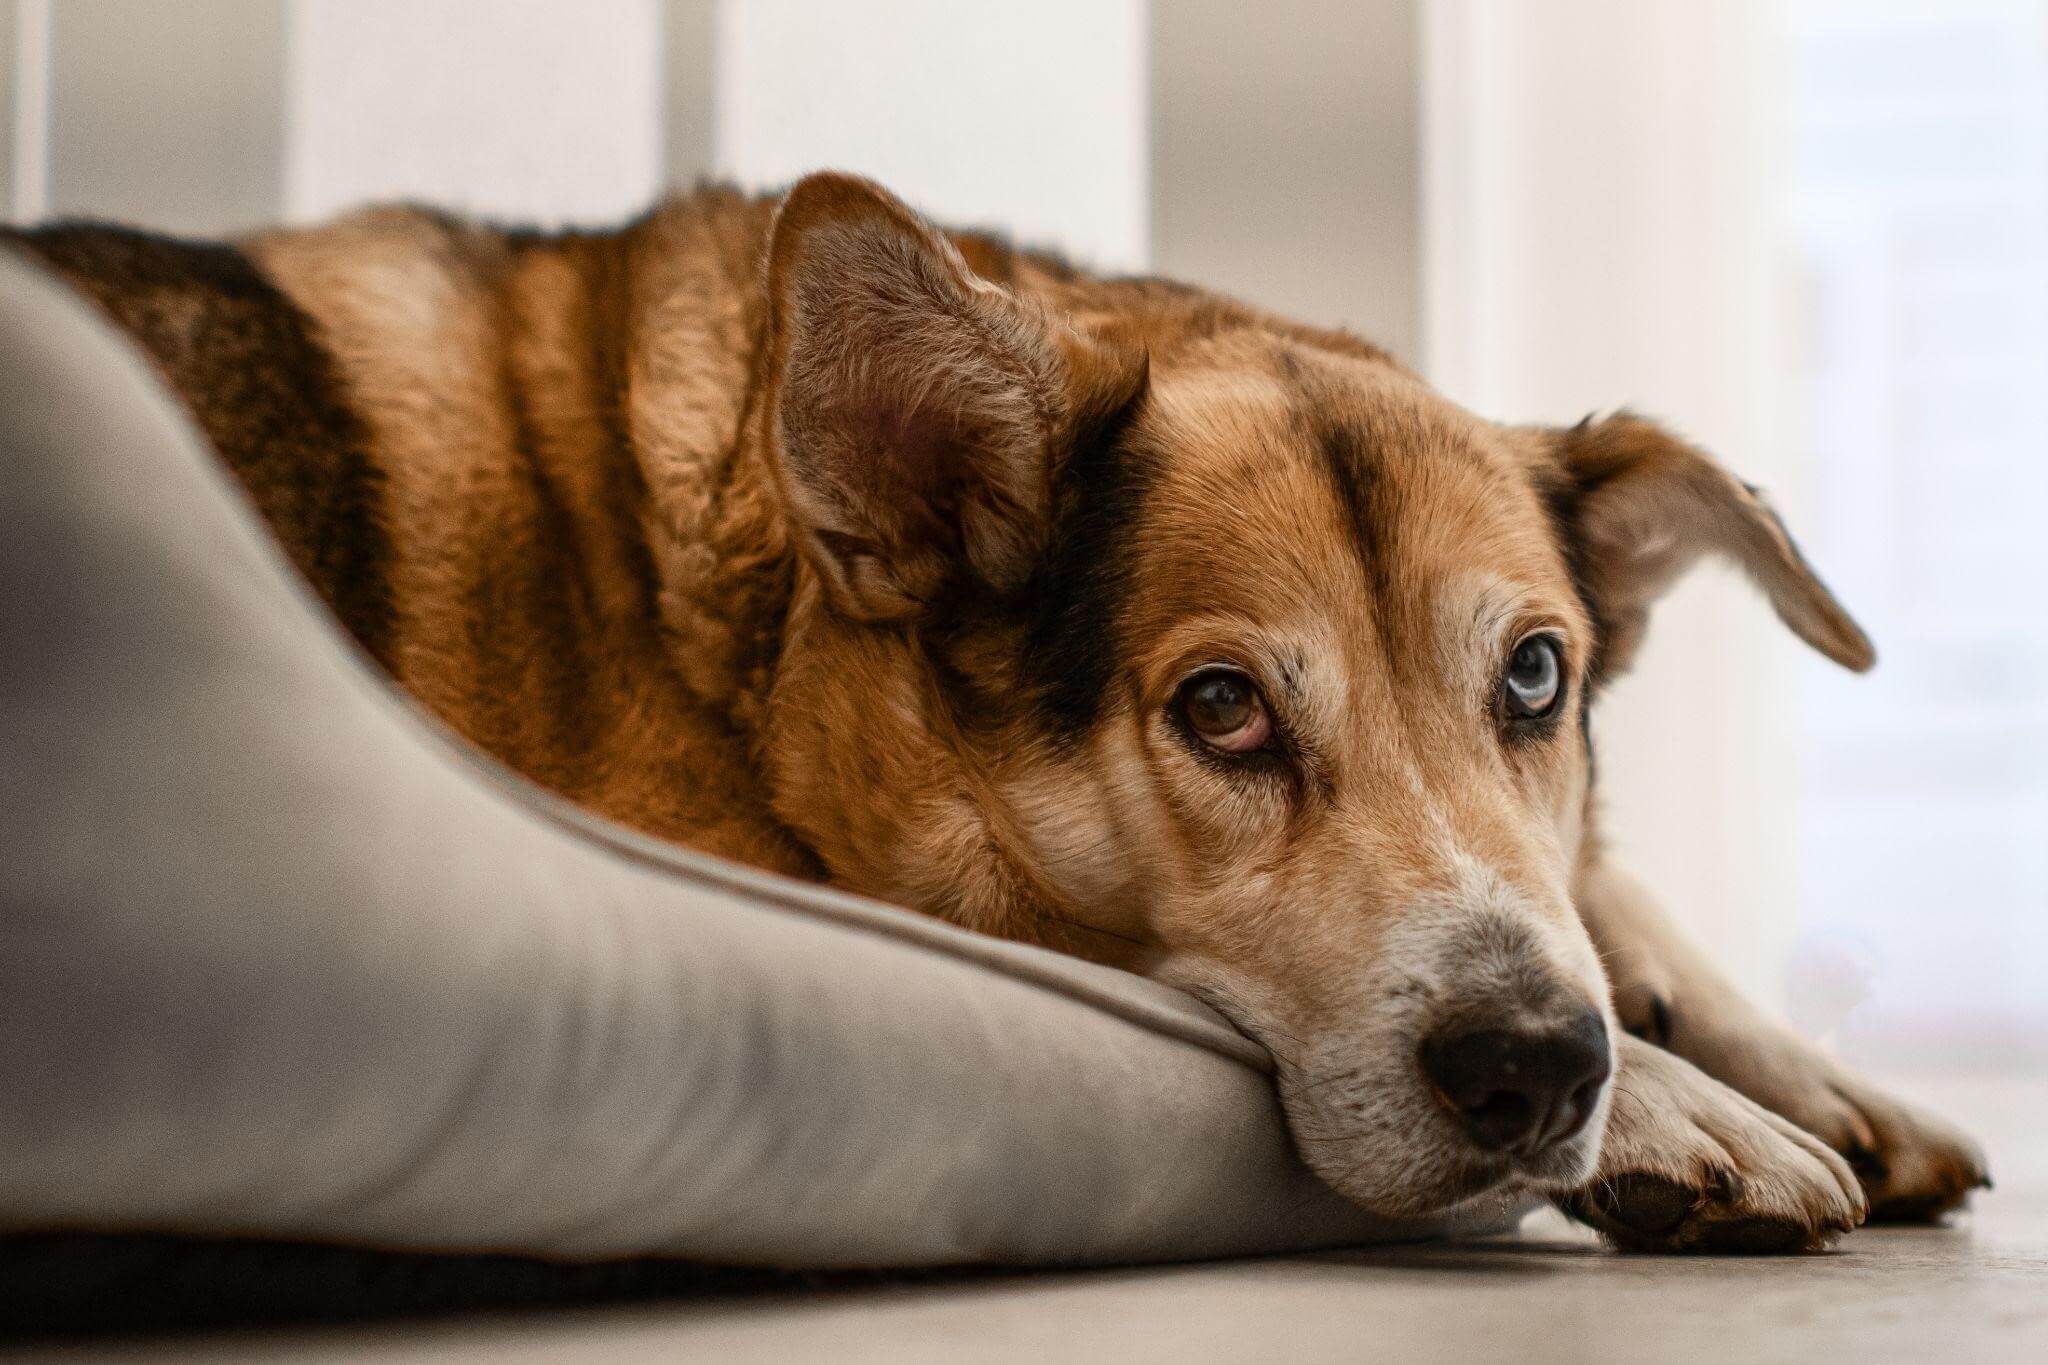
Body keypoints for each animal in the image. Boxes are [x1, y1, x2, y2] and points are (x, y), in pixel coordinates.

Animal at [12, 173, 1982, 1260]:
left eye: (1534, 678)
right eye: (1220, 710)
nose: (1539, 1069)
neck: (753, 624)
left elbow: (1594, 886)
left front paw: (1769, 1054)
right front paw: (1686, 1106)